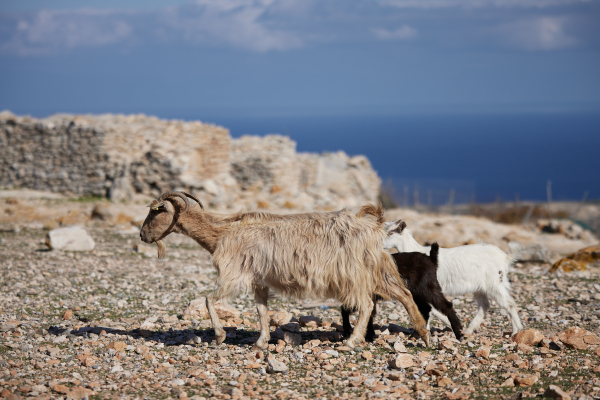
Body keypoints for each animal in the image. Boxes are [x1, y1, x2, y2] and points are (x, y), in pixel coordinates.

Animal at [139, 192, 432, 348]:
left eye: (156, 211)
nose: (142, 235)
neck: (222, 231)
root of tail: (375, 227)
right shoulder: (258, 279)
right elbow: (261, 310)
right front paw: (261, 341)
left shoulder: (234, 273)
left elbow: (209, 299)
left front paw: (220, 336)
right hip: (376, 269)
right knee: (404, 294)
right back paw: (424, 334)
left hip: (353, 272)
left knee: (368, 304)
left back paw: (352, 341)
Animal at [384, 220, 520, 336]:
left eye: (391, 232)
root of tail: (505, 257)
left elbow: (431, 309)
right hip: (480, 287)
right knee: (485, 305)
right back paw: (469, 330)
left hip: (494, 284)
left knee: (509, 305)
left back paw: (515, 332)